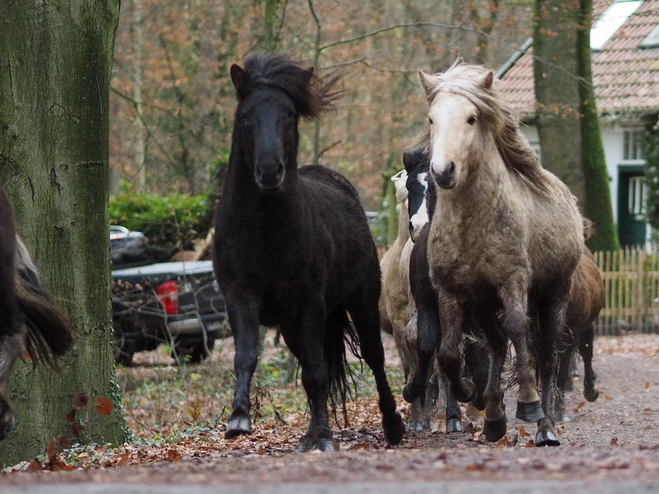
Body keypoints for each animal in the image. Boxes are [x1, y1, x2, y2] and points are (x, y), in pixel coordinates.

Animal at [214, 53, 404, 452]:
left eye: (289, 114)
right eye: (246, 116)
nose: (270, 170)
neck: (265, 231)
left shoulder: (310, 303)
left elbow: (317, 373)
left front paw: (326, 437)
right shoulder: (240, 296)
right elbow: (246, 356)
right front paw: (238, 419)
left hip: (360, 299)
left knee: (374, 358)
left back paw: (392, 425)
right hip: (290, 325)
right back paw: (310, 433)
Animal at [416, 59, 584, 446]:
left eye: (471, 118)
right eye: (431, 118)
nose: (443, 171)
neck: (472, 226)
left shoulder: (513, 282)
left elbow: (518, 330)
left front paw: (528, 403)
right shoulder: (451, 292)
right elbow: (449, 353)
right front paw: (467, 393)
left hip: (553, 296)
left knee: (546, 359)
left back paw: (545, 426)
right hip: (482, 303)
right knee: (494, 344)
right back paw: (492, 418)